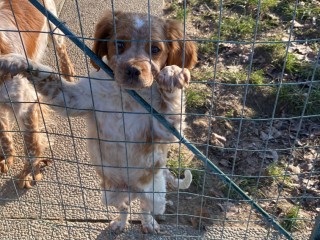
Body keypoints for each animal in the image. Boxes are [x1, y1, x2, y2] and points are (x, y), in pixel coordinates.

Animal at [0, 0, 74, 188]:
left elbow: (32, 148)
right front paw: (7, 158)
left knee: (61, 47)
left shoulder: (27, 104)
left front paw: (27, 175)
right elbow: (4, 134)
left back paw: (67, 71)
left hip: (53, 24)